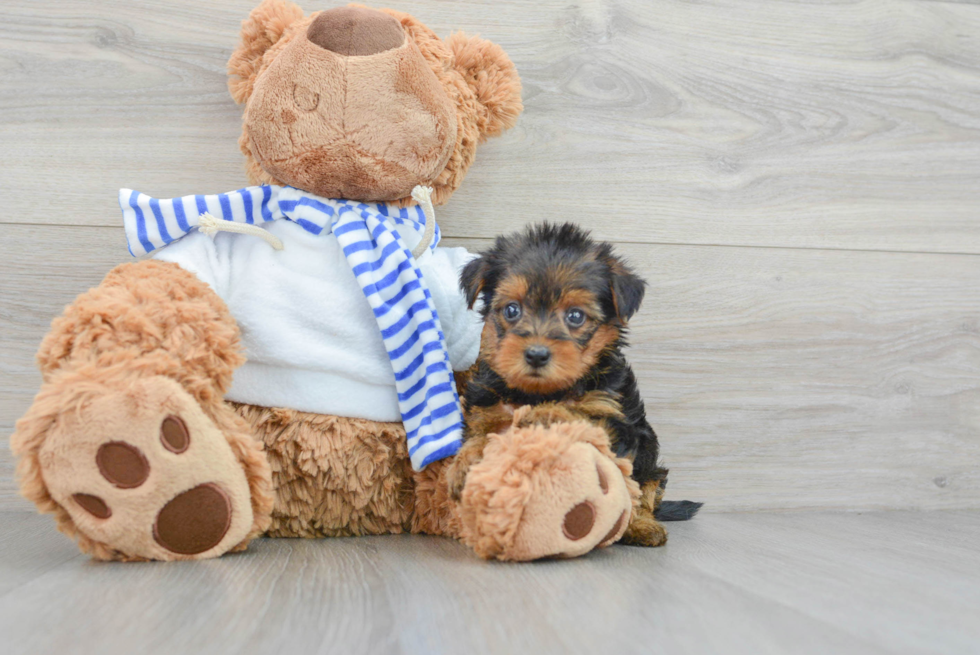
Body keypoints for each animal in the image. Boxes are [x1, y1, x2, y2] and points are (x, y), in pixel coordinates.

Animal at [448, 223, 700, 544]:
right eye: (512, 310)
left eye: (575, 316)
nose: (536, 354)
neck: (542, 391)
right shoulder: (487, 408)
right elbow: (480, 435)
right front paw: (463, 464)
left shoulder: (614, 421)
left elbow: (578, 417)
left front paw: (541, 414)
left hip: (651, 464)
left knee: (644, 489)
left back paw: (642, 526)